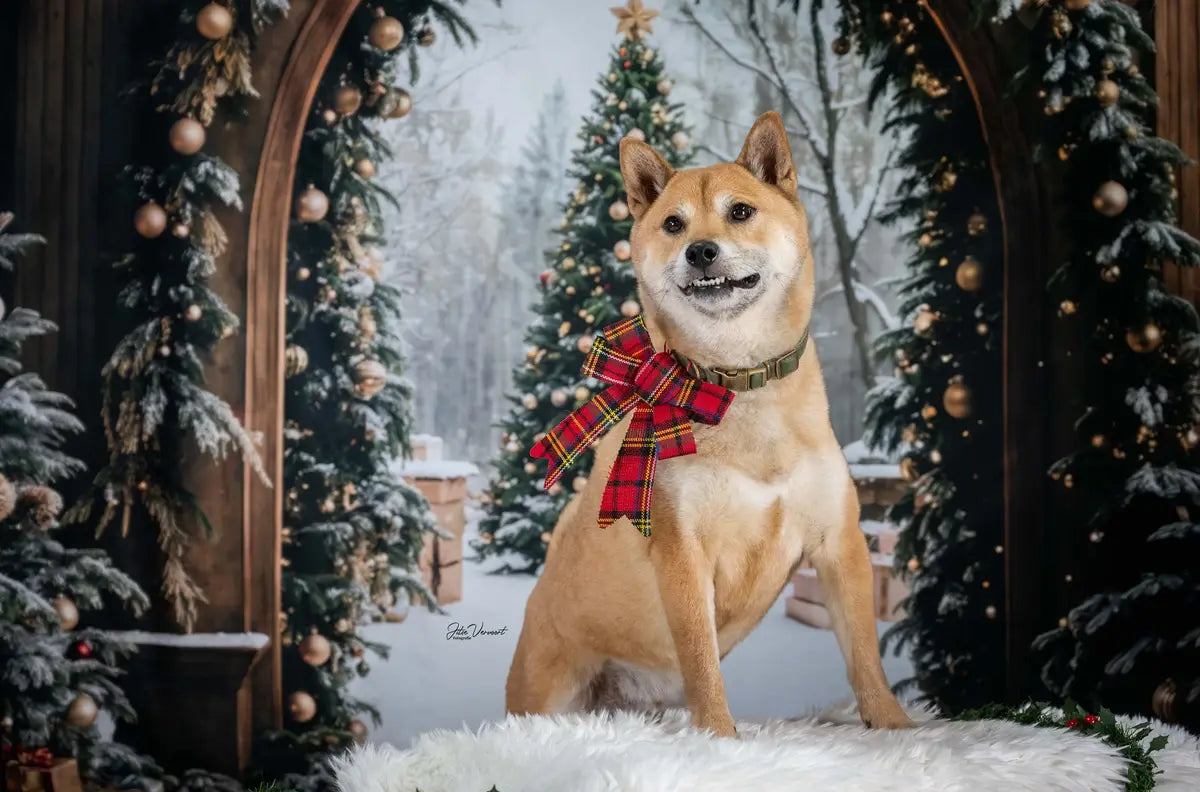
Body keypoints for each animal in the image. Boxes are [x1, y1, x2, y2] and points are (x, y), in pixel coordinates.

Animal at [506, 111, 907, 734]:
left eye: (740, 211)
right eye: (673, 223)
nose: (700, 251)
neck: (737, 384)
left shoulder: (838, 543)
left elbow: (864, 652)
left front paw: (892, 722)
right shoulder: (683, 552)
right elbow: (701, 659)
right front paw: (719, 734)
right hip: (545, 688)